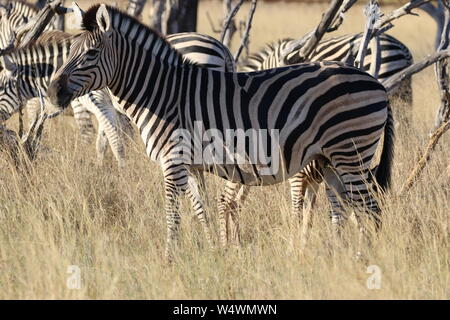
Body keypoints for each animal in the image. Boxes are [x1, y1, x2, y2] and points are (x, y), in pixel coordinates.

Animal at [47, 5, 396, 260]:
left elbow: (172, 215)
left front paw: (169, 260)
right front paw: (215, 251)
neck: (162, 93)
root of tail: (375, 82)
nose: (52, 91)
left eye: (90, 54)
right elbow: (201, 208)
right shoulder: (190, 165)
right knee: (351, 211)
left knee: (372, 210)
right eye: (70, 50)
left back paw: (370, 263)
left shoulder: (172, 161)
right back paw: (351, 259)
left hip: (351, 151)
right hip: (333, 159)